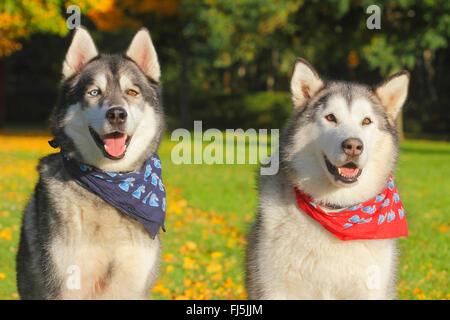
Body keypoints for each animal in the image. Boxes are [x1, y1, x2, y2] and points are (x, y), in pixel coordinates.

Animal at [17, 27, 167, 300]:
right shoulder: (64, 285)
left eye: (132, 92)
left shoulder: (135, 286)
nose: (117, 114)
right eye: (94, 92)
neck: (112, 181)